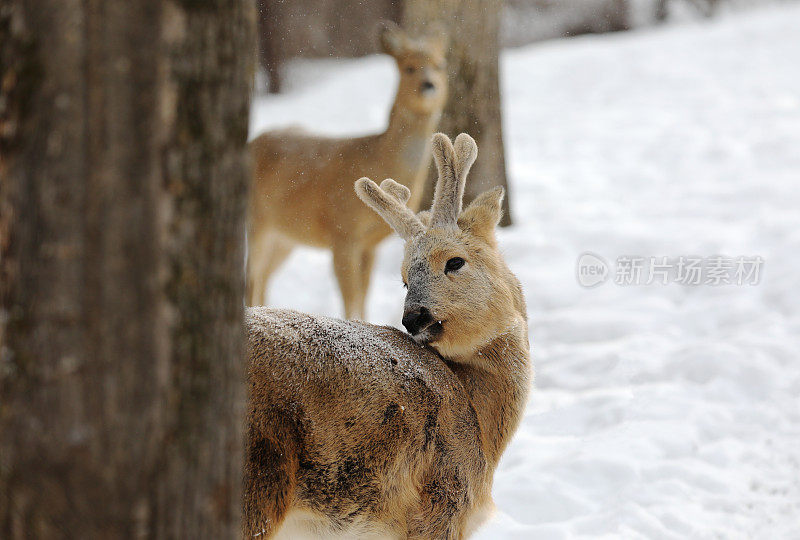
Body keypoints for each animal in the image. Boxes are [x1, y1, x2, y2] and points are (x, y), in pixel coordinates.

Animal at [248, 23, 450, 318]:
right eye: (409, 67)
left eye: (440, 65)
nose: (429, 85)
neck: (378, 158)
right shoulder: (342, 231)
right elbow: (350, 298)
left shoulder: (369, 243)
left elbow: (363, 297)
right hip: (258, 220)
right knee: (251, 275)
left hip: (285, 235)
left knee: (264, 276)